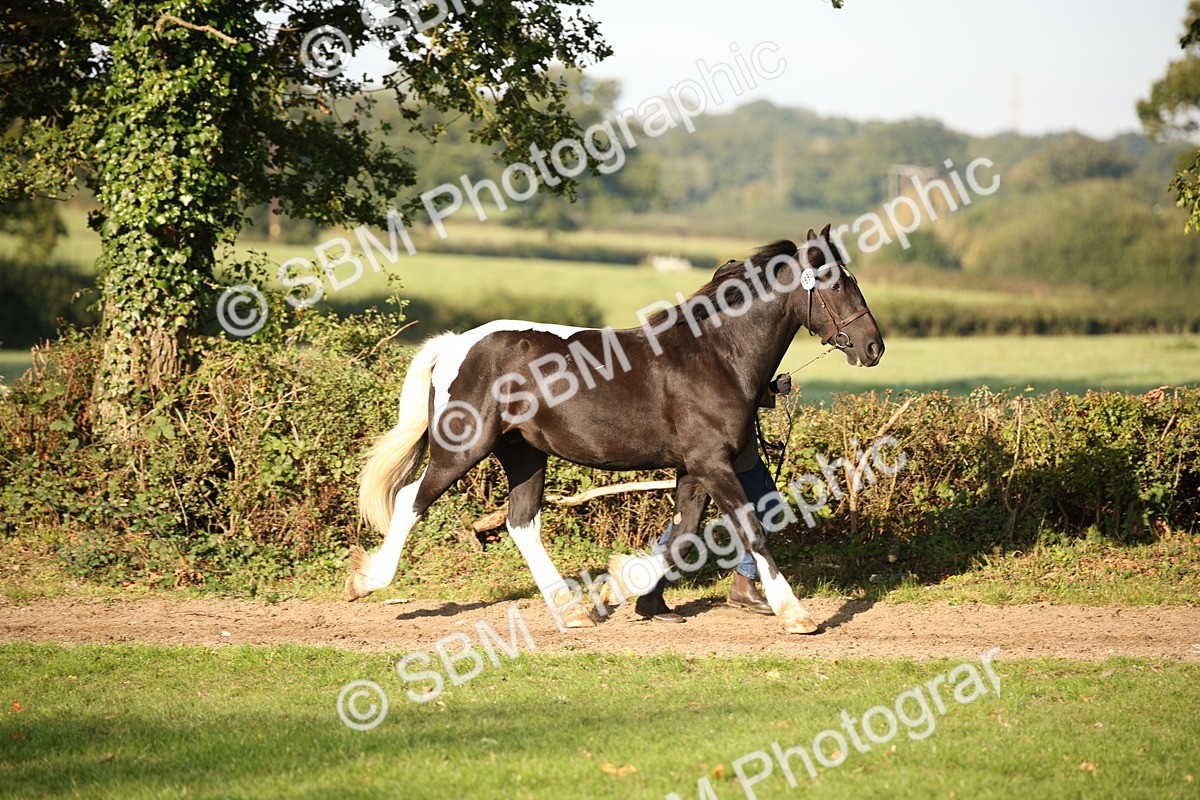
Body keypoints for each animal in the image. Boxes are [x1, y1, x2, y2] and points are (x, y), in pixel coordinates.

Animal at [347, 225, 884, 634]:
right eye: (836, 283)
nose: (873, 346)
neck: (716, 354)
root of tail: (457, 343)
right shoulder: (713, 464)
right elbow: (749, 528)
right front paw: (797, 615)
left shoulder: (694, 468)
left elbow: (682, 535)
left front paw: (621, 593)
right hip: (462, 448)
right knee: (411, 500)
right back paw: (366, 581)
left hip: (524, 455)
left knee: (521, 522)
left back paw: (571, 610)